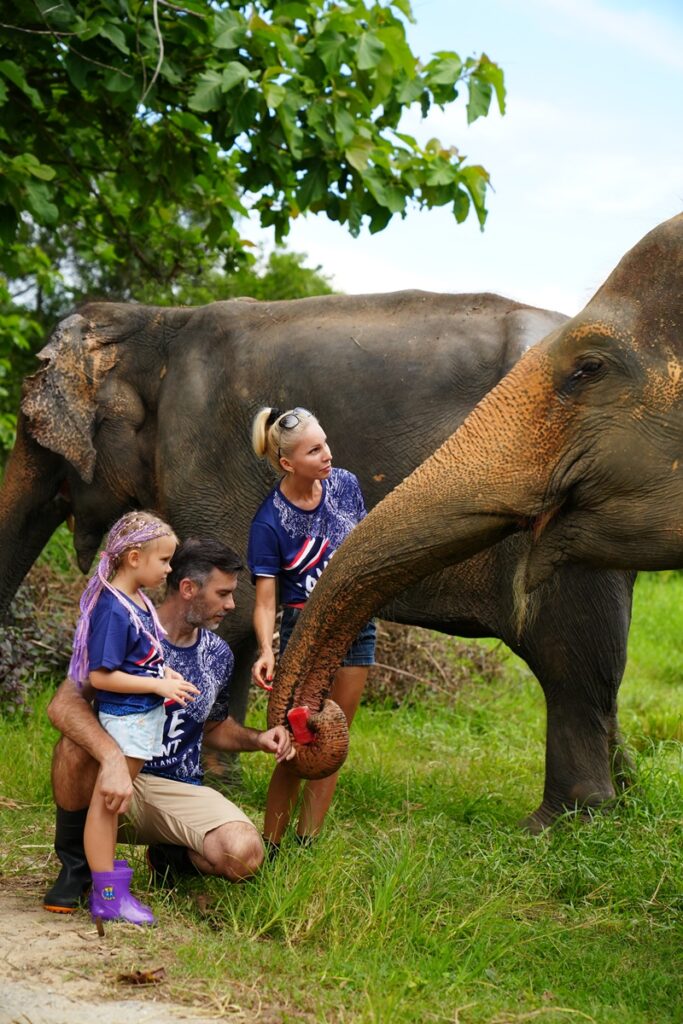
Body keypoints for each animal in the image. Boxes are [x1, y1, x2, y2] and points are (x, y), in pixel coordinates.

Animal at [0, 288, 636, 829]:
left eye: (30, 426)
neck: (154, 322)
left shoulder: (201, 450)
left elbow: (229, 612)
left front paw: (214, 776)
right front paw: (228, 775)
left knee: (572, 667)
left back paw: (558, 824)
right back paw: (625, 802)